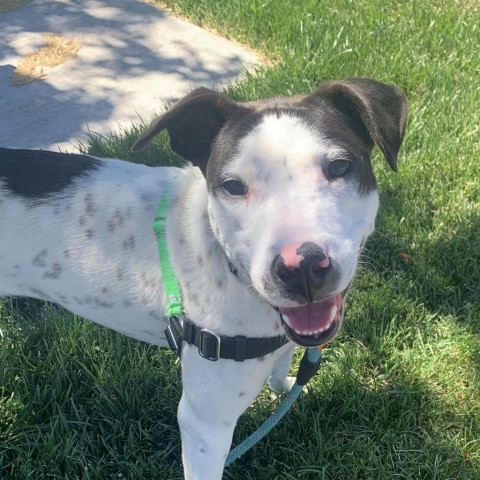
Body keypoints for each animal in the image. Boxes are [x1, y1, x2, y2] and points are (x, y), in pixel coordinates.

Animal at [0, 79, 406, 480]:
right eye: (233, 186)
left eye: (339, 166)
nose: (301, 266)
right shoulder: (204, 426)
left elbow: (282, 363)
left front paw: (286, 388)